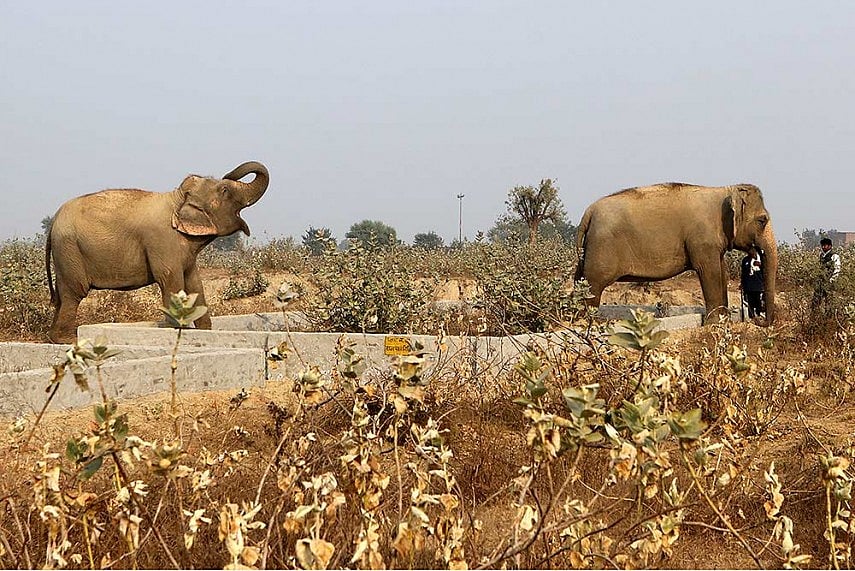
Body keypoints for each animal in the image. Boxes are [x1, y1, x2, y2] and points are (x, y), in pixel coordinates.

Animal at [45, 161, 270, 343]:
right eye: (224, 190)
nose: (229, 173)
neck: (177, 198)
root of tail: (54, 221)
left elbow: (194, 283)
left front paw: (205, 331)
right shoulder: (162, 240)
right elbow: (171, 280)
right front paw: (178, 329)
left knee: (62, 296)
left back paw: (55, 338)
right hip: (69, 250)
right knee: (74, 292)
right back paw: (68, 340)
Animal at [574, 182, 777, 325]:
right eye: (762, 220)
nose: (760, 320)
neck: (726, 190)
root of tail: (588, 212)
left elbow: (721, 270)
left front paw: (723, 320)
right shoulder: (702, 241)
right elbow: (709, 271)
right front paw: (713, 323)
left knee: (580, 280)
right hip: (601, 248)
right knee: (594, 285)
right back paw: (588, 322)